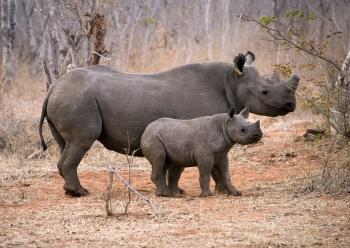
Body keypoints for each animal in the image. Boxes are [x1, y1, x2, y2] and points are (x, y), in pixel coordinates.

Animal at [39, 51, 300, 197]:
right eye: (265, 91)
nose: (291, 104)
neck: (231, 81)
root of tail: (54, 87)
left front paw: (221, 191)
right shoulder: (202, 132)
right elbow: (207, 166)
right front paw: (213, 192)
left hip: (69, 97)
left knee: (66, 144)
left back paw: (70, 190)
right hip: (77, 98)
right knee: (82, 141)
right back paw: (79, 193)